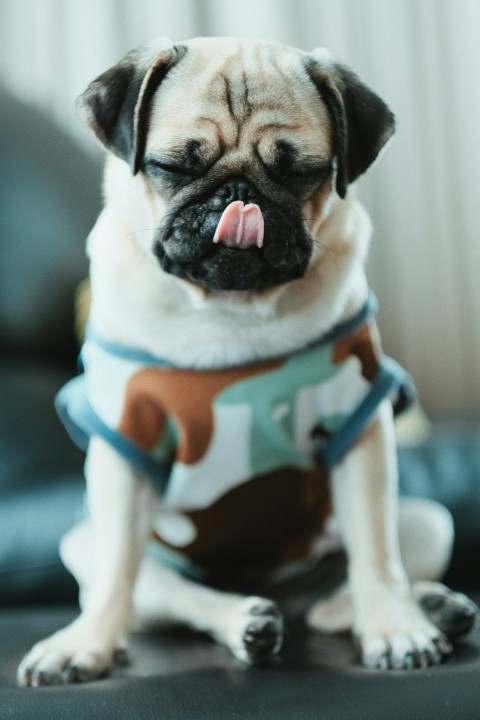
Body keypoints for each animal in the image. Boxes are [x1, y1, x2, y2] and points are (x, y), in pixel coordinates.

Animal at [17, 35, 476, 688]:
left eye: (302, 173)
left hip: (430, 520)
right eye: (175, 167)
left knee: (331, 600)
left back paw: (430, 606)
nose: (238, 197)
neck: (229, 309)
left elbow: (375, 553)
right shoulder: (128, 438)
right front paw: (87, 644)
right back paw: (245, 621)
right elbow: (114, 573)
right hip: (79, 543)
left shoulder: (358, 426)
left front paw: (395, 626)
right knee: (167, 592)